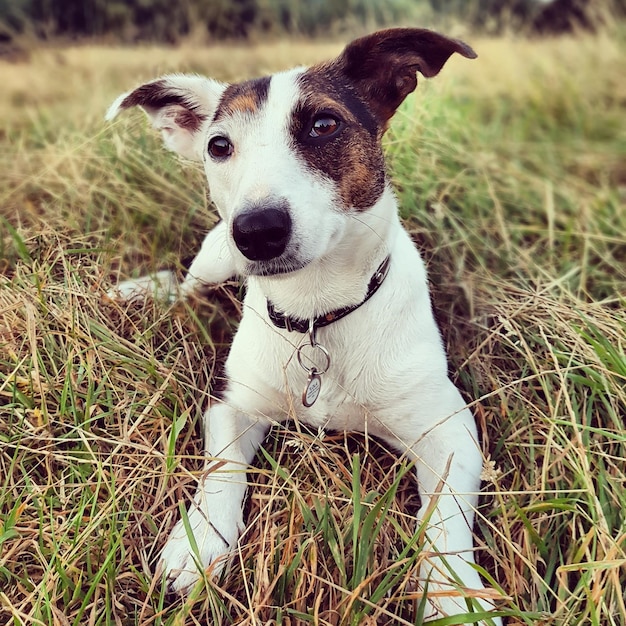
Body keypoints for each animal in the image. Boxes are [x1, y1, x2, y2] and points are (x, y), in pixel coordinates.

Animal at [105, 28, 500, 620]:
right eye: (218, 146)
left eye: (324, 125)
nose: (256, 230)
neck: (317, 313)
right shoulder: (233, 403)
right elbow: (221, 470)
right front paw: (198, 545)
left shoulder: (449, 430)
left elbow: (444, 517)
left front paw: (454, 597)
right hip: (215, 259)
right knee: (185, 284)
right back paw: (137, 292)